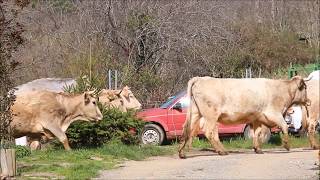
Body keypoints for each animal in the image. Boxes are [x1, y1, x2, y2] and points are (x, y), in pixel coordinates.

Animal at [179, 75, 308, 158]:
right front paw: (287, 145)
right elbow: (284, 126)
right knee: (209, 132)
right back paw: (221, 151)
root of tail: (200, 79)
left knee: (187, 129)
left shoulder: (257, 118)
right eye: (305, 88)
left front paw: (257, 149)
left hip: (196, 113)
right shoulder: (274, 113)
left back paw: (182, 153)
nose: (308, 101)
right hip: (211, 116)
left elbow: (257, 133)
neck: (281, 91)